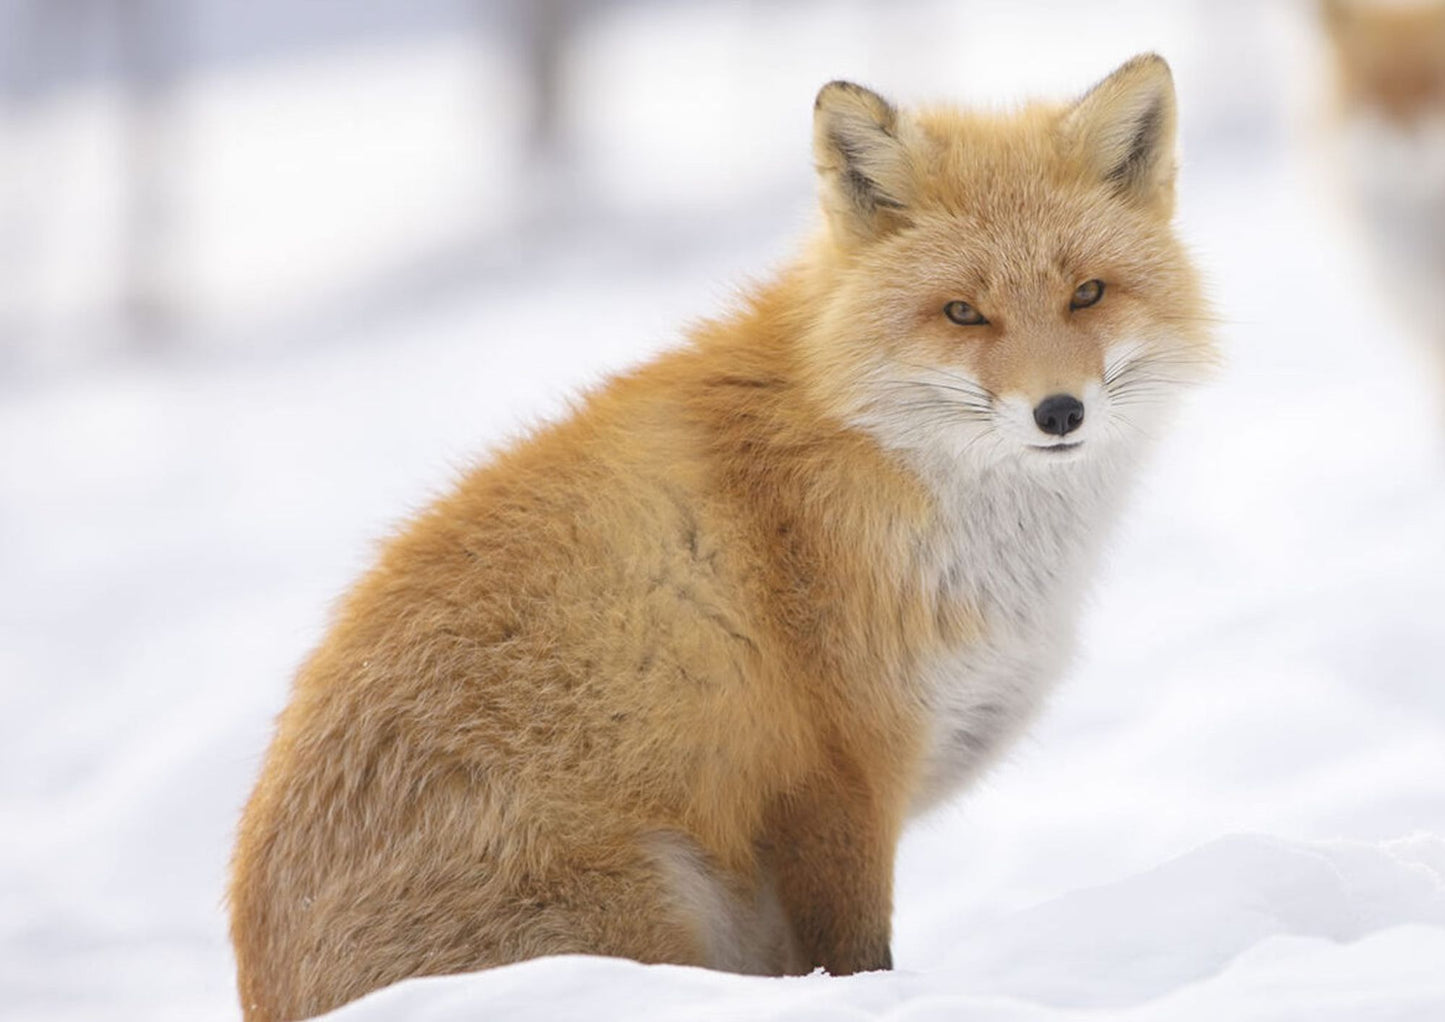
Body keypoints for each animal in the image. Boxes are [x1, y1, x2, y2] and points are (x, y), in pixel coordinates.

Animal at [231, 56, 1213, 1022]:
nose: (1059, 412)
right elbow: (857, 960)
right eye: (962, 313)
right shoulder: (837, 779)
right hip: (660, 904)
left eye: (1086, 293)